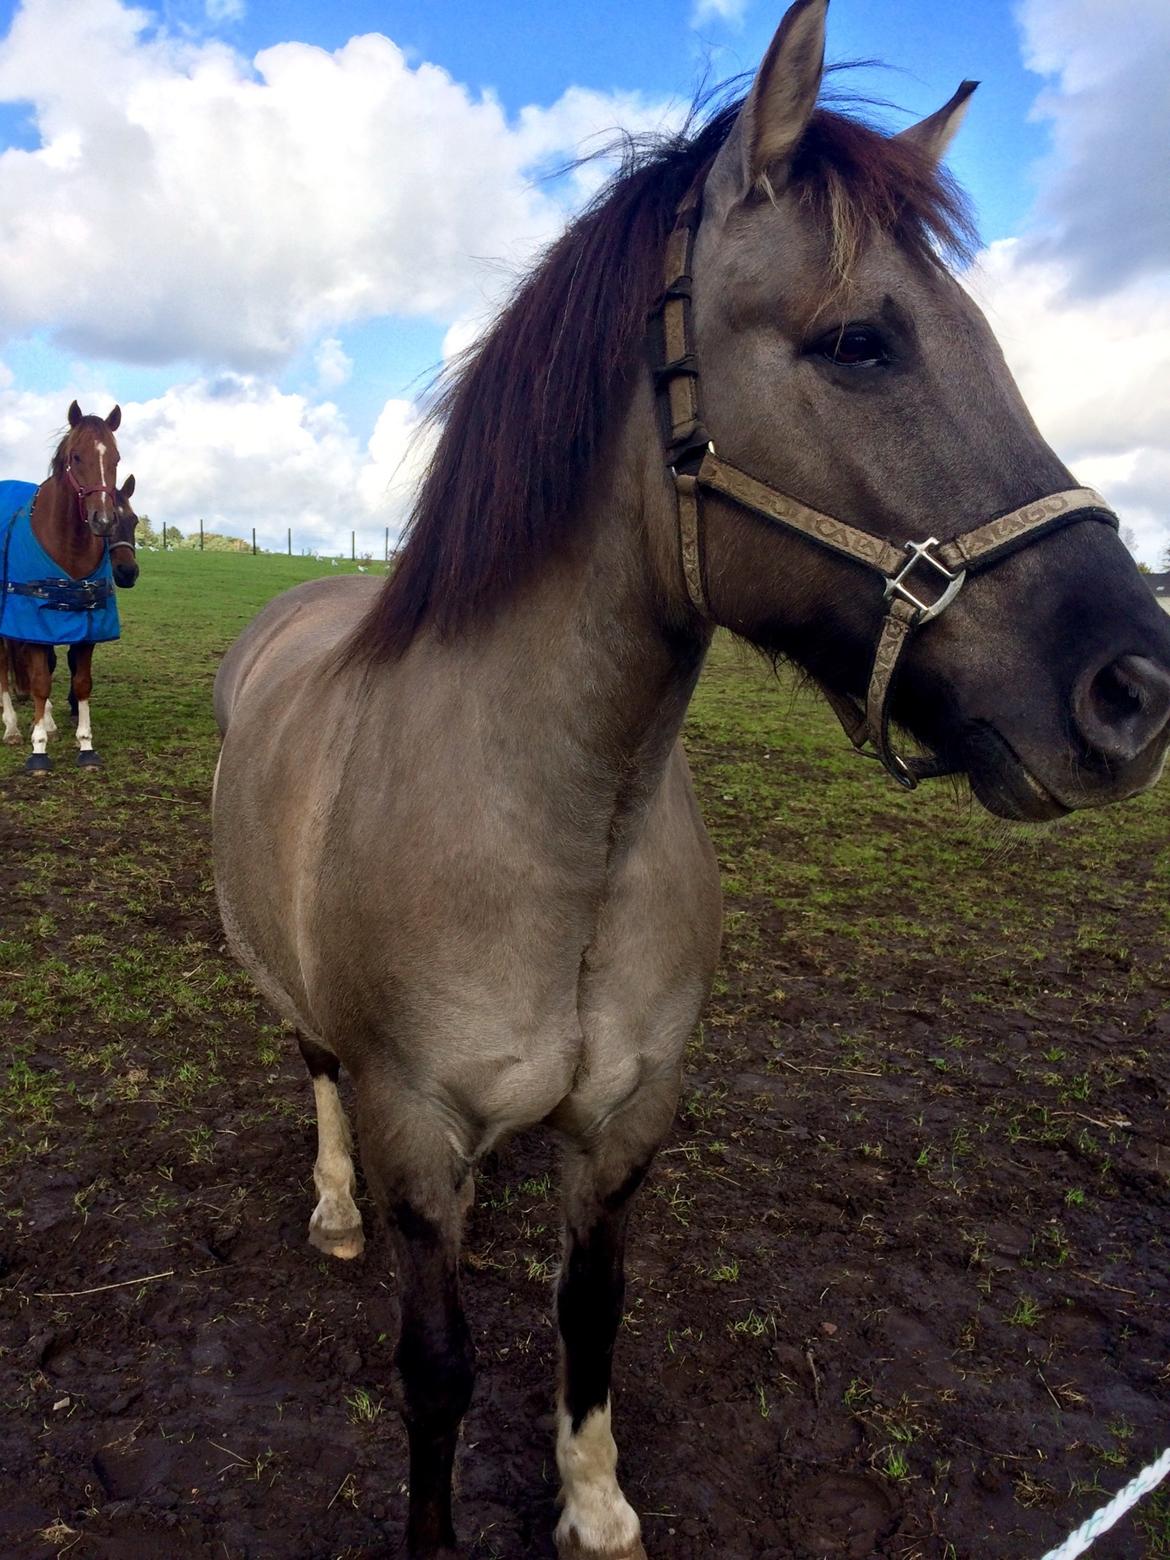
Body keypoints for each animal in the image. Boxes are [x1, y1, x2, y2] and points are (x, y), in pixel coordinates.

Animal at [0, 402, 127, 767]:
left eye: (116, 458)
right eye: (75, 457)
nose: (103, 520)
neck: (68, 547)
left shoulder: (88, 626)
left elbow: (82, 682)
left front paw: (86, 746)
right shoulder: (33, 626)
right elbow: (41, 683)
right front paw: (38, 749)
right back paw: (12, 727)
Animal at [210, 6, 1170, 1553]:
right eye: (857, 343)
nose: (1132, 689)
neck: (556, 834)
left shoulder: (624, 1127)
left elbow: (589, 1316)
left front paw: (595, 1508)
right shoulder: (416, 1131)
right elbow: (436, 1372)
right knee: (312, 1077)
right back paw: (330, 1210)